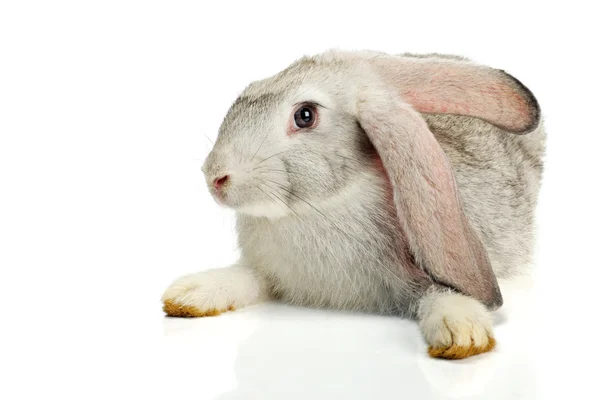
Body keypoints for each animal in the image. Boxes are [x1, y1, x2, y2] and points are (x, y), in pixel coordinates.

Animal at [162, 49, 548, 360]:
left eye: (305, 115)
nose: (215, 176)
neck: (319, 207)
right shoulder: (268, 273)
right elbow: (245, 278)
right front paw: (188, 295)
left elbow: (441, 294)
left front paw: (462, 332)